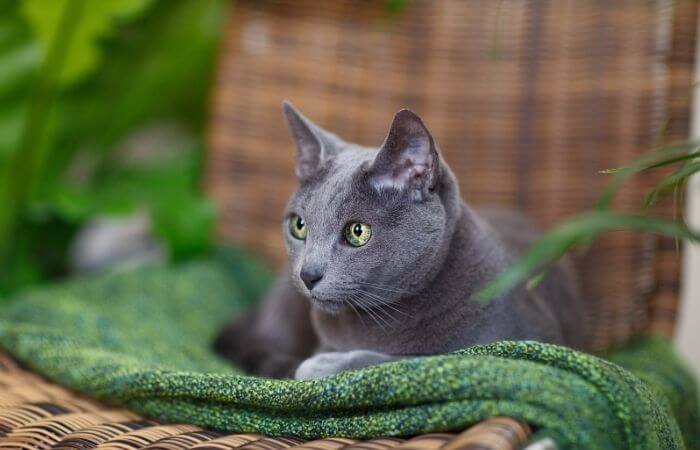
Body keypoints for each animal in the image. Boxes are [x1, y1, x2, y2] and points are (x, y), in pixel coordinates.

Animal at [215, 101, 592, 380]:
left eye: (357, 232)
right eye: (299, 226)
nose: (308, 275)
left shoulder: (529, 345)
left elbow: (421, 360)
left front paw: (325, 364)